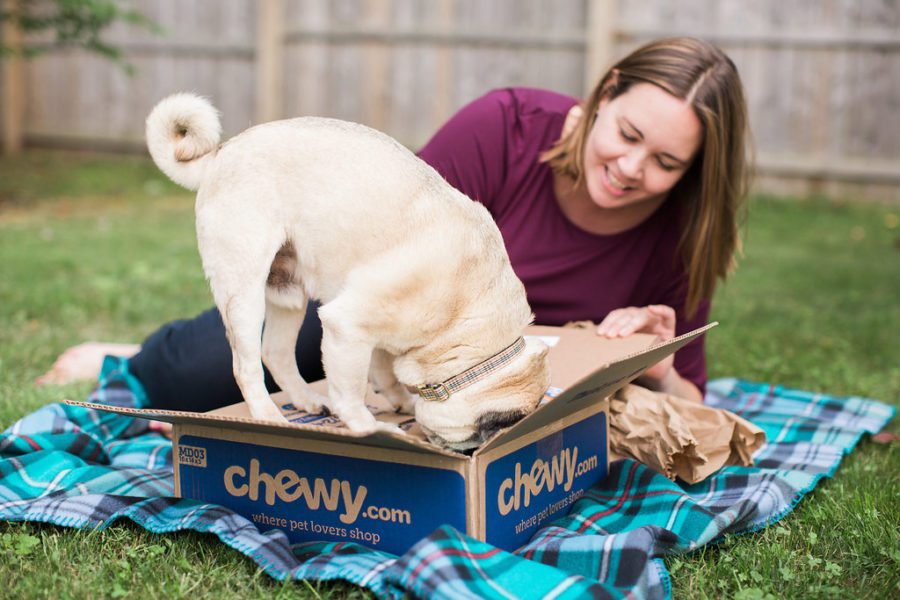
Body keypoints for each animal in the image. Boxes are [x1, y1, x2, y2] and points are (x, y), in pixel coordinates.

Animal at [146, 92, 548, 450]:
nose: (468, 452)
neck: (463, 327)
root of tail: (221, 153)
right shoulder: (347, 327)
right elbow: (350, 389)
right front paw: (368, 427)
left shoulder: (382, 336)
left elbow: (384, 370)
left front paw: (401, 400)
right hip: (244, 293)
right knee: (247, 366)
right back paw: (267, 414)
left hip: (288, 294)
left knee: (275, 352)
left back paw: (306, 400)